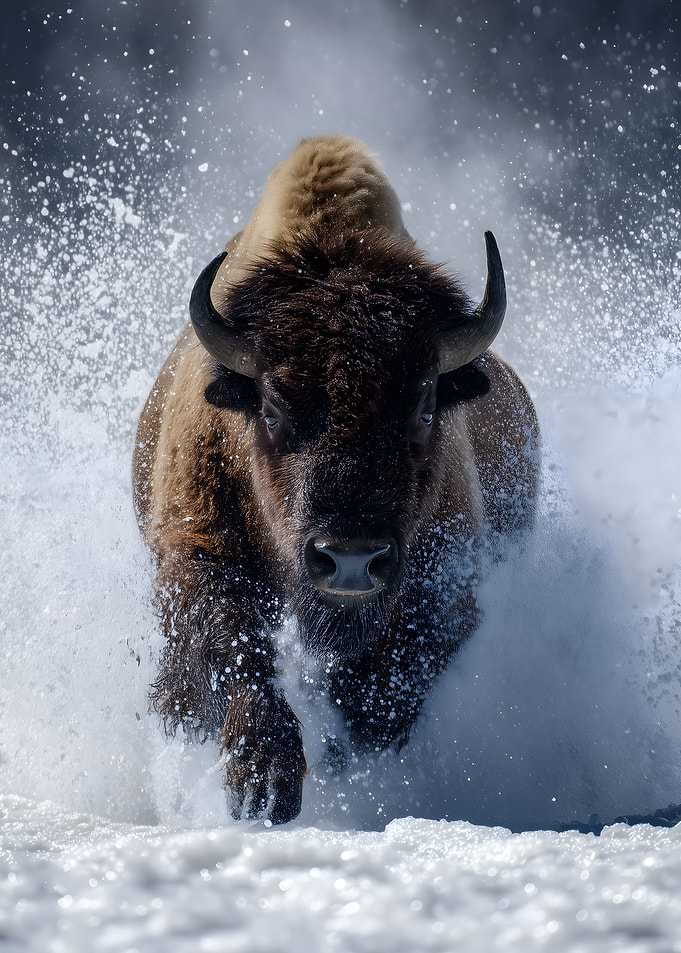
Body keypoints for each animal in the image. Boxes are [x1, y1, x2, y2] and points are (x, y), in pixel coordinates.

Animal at [133, 135, 540, 823]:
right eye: (272, 409)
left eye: (425, 405)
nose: (351, 560)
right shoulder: (197, 551)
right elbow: (235, 647)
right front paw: (262, 788)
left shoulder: (447, 579)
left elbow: (385, 690)